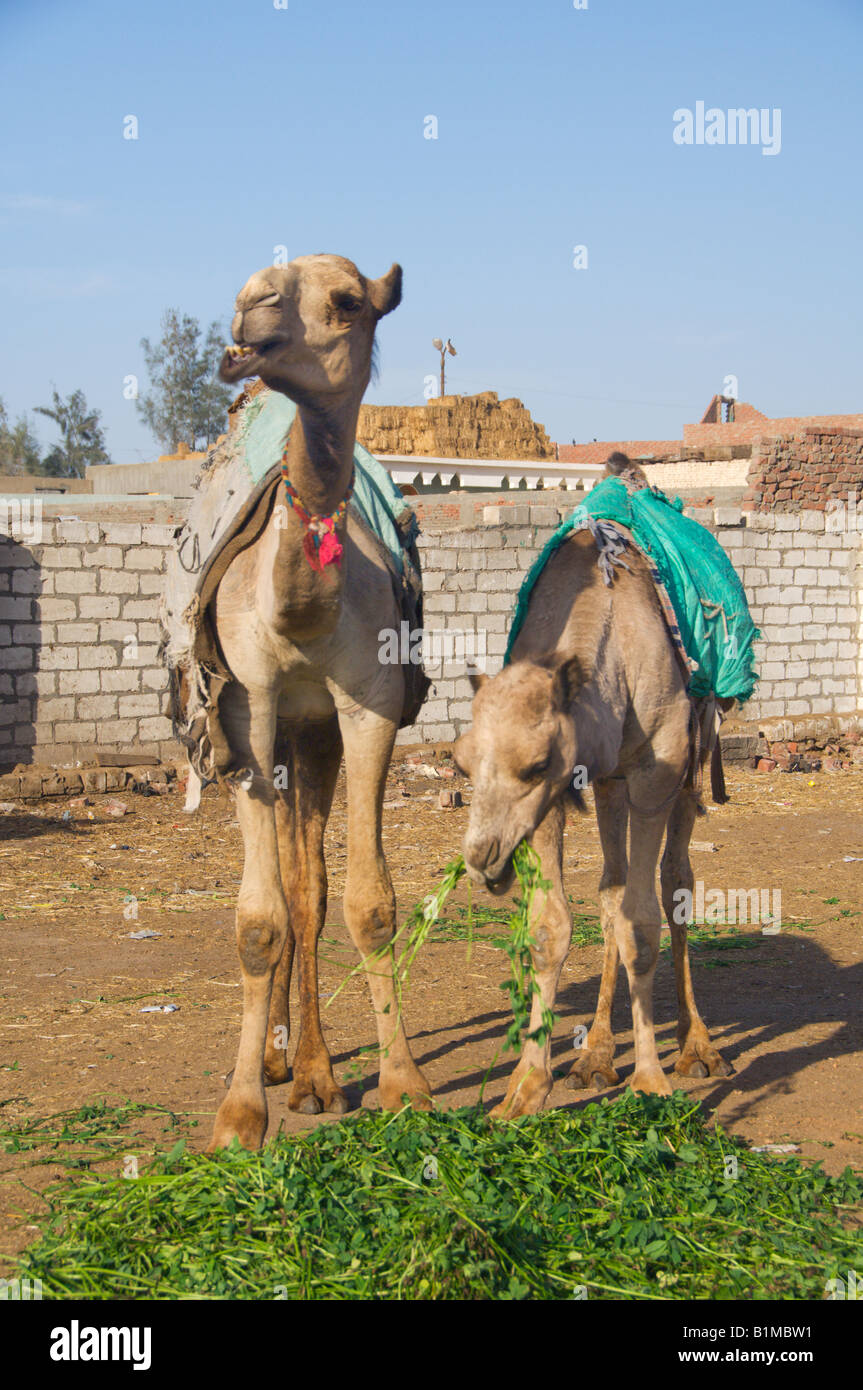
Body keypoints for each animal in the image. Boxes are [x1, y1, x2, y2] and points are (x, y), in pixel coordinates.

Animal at [205, 255, 433, 1145]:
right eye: (258, 288)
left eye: (344, 302)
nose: (248, 304)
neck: (300, 609)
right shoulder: (246, 709)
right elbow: (256, 921)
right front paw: (238, 1113)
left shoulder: (365, 706)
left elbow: (367, 904)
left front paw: (402, 1084)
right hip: (271, 739)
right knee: (287, 890)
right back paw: (278, 1070)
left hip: (315, 739)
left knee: (311, 889)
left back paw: (311, 1076)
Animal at [453, 500, 728, 1117]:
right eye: (460, 765)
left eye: (534, 765)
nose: (483, 857)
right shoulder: (554, 801)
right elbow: (551, 927)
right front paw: (525, 1089)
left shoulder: (654, 773)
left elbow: (644, 924)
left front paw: (650, 1081)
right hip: (608, 783)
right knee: (611, 887)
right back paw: (596, 1055)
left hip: (689, 760)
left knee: (675, 881)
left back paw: (697, 1047)